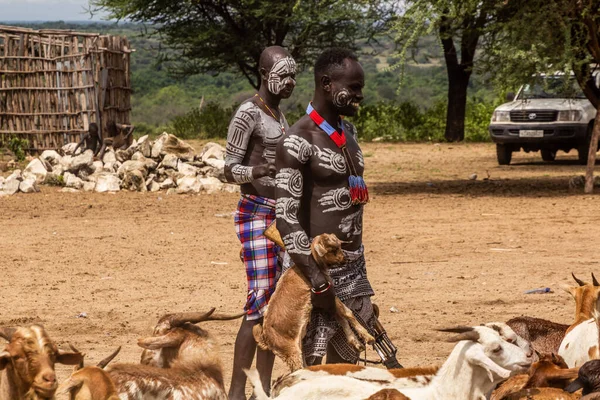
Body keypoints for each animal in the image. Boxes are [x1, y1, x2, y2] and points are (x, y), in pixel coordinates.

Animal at [253, 231, 376, 372]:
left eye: (339, 246)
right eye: (332, 250)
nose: (344, 260)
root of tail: (265, 338)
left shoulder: (327, 302)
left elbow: (342, 318)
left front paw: (356, 342)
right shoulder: (329, 295)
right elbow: (348, 313)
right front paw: (368, 337)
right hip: (291, 352)